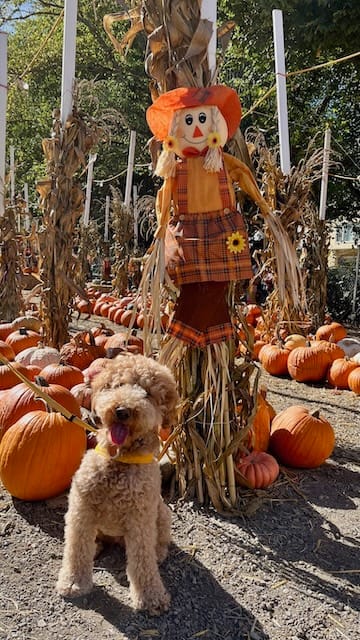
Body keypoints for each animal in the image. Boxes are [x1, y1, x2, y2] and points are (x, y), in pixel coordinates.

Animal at [56, 356, 179, 616]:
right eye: (119, 384)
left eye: (148, 393)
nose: (122, 411)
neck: (120, 459)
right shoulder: (81, 510)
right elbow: (76, 549)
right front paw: (73, 582)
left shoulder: (140, 521)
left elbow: (142, 561)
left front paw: (151, 598)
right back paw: (97, 547)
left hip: (162, 513)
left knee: (160, 542)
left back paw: (159, 552)